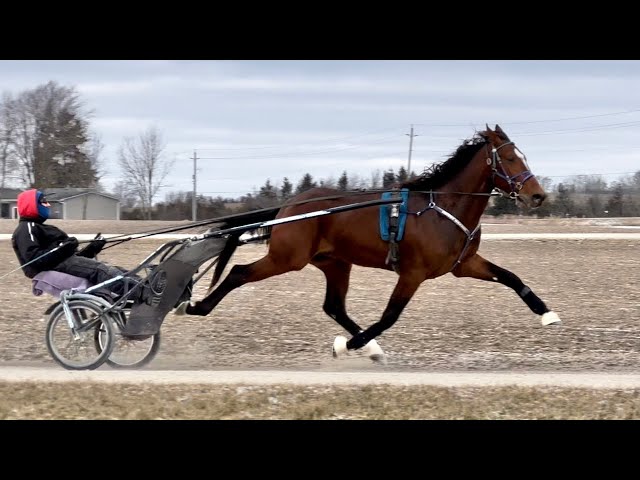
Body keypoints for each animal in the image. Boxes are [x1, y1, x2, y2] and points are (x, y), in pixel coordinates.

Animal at [175, 124, 560, 364]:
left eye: (522, 156)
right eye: (509, 158)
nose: (537, 195)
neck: (442, 207)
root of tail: (289, 206)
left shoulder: (464, 264)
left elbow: (511, 278)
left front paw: (547, 314)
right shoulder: (413, 272)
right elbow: (390, 315)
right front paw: (348, 345)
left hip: (335, 262)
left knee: (334, 306)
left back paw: (369, 347)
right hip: (288, 257)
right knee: (239, 272)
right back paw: (195, 306)